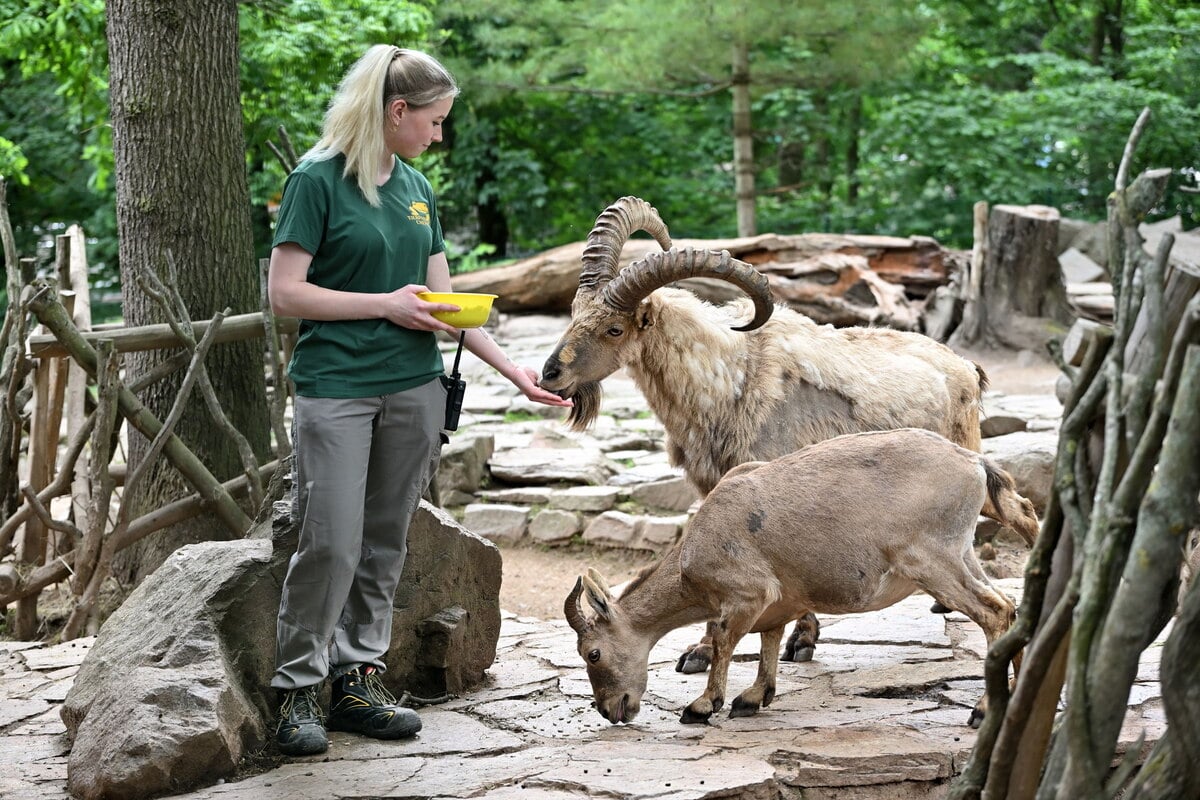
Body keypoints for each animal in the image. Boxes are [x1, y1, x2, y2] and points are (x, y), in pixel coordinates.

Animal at [540, 196, 1008, 671]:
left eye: (614, 328)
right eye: (574, 314)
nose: (549, 375)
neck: (731, 377)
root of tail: (967, 367)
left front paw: (796, 642)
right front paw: (703, 652)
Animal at [561, 429, 1041, 729]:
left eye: (593, 654)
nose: (610, 710)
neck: (690, 558)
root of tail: (974, 462)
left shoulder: (744, 593)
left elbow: (724, 641)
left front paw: (702, 706)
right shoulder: (779, 603)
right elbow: (769, 641)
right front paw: (754, 697)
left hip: (932, 561)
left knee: (996, 612)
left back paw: (983, 710)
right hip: (962, 554)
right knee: (1013, 601)